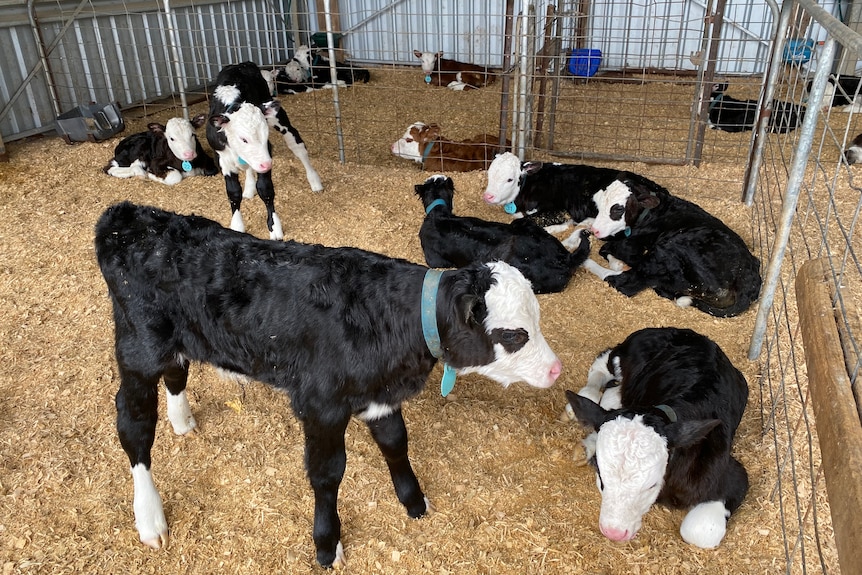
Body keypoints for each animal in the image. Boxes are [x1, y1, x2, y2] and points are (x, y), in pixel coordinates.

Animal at [96, 200, 568, 568]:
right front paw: (327, 544)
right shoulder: (321, 406)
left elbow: (396, 444)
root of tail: (128, 215)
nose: (556, 370)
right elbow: (327, 474)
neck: (390, 321)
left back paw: (182, 421)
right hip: (138, 349)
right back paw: (150, 518)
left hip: (176, 341)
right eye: (514, 334)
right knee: (134, 426)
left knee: (176, 373)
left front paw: (414, 502)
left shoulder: (379, 395)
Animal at [207, 62, 324, 242]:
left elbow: (265, 189)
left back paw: (314, 181)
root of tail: (240, 64)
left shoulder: (266, 151)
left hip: (278, 117)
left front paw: (274, 227)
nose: (266, 164)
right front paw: (237, 225)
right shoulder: (223, 159)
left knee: (297, 146)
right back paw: (249, 189)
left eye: (265, 135)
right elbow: (233, 193)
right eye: (243, 139)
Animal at [568, 328, 748, 548]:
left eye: (651, 485)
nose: (614, 532)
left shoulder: (734, 475)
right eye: (601, 476)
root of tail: (688, 333)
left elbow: (699, 531)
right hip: (624, 353)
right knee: (603, 362)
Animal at [588, 176, 764, 320]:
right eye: (600, 204)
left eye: (618, 208)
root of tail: (748, 279)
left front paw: (616, 261)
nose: (595, 230)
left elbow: (608, 248)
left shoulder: (630, 245)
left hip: (668, 249)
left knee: (624, 283)